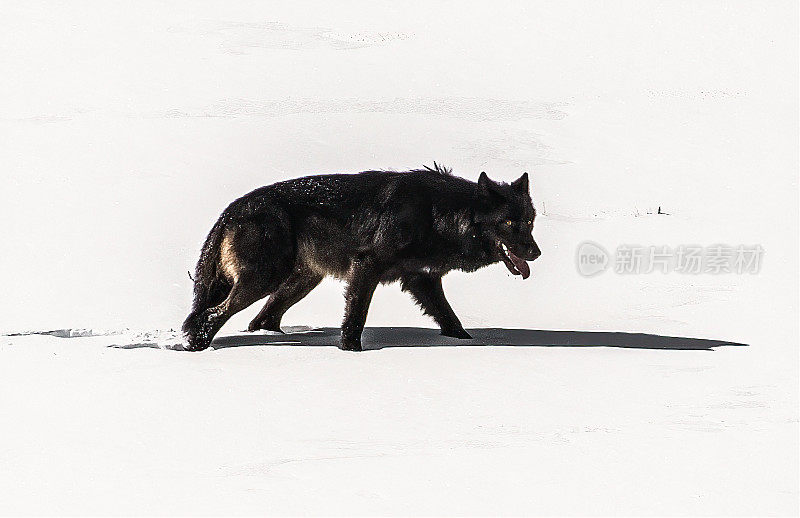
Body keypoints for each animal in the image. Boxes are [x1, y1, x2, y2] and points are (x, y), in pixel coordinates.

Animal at [184, 166, 540, 354]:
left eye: (529, 221)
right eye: (509, 222)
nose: (536, 253)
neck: (437, 215)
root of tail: (233, 208)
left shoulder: (422, 279)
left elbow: (450, 318)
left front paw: (468, 342)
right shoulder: (366, 267)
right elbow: (356, 317)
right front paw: (351, 352)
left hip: (299, 282)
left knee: (261, 319)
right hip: (266, 278)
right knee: (212, 314)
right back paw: (197, 347)